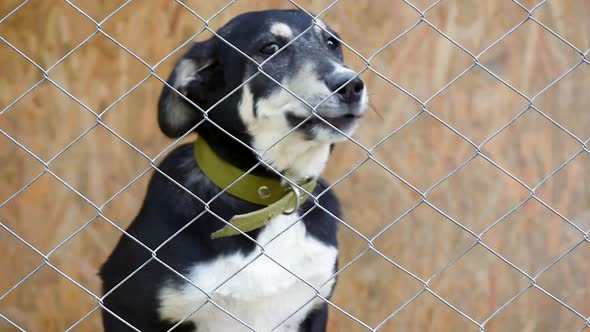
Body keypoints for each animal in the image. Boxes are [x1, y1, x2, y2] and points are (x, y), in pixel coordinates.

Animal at [102, 9, 370, 330]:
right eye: (270, 48)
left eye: (332, 43)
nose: (351, 85)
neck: (271, 200)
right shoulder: (125, 306)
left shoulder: (315, 307)